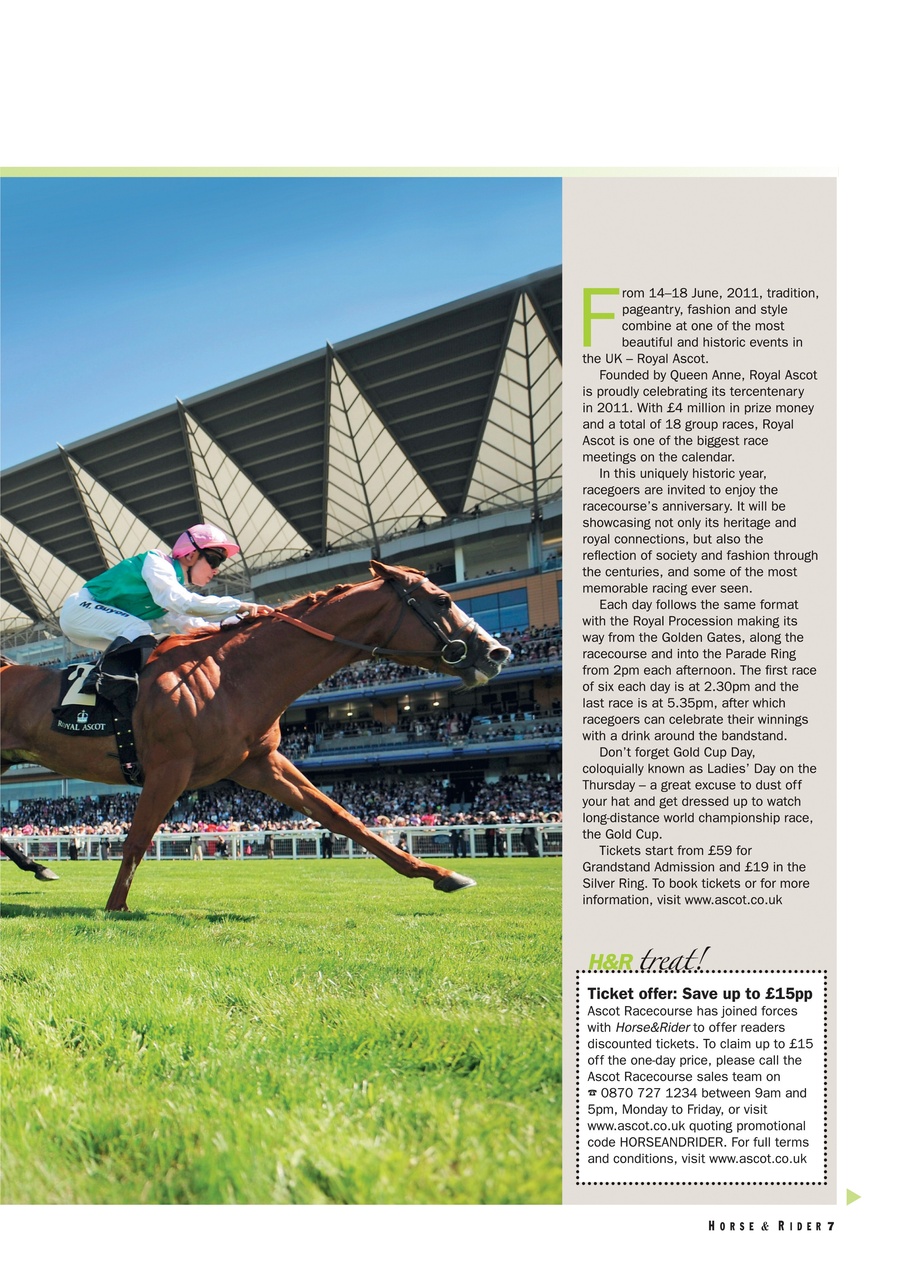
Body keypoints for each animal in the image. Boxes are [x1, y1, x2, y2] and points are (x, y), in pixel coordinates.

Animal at [0, 561, 511, 911]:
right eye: (441, 599)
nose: (496, 651)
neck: (229, 674)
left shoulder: (260, 763)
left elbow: (341, 816)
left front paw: (438, 872)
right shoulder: (170, 767)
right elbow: (138, 838)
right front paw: (115, 906)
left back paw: (38, 866)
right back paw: (39, 866)